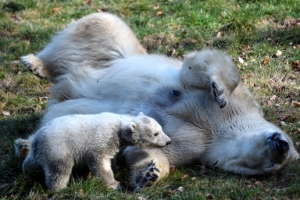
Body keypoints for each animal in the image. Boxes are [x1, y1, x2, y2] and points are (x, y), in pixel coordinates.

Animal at [21, 112, 171, 191]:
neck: (119, 127)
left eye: (161, 128)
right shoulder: (102, 140)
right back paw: (59, 188)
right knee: (60, 169)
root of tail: (38, 138)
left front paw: (116, 167)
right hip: (57, 148)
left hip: (40, 150)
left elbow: (112, 157)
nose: (169, 141)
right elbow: (99, 162)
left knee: (31, 162)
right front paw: (114, 184)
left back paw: (27, 169)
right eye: (156, 133)